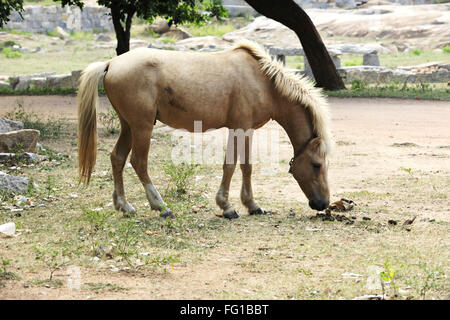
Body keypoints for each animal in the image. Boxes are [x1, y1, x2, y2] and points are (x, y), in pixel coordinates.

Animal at [76, 39, 330, 220]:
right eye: (316, 165)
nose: (324, 204)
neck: (264, 82)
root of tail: (111, 64)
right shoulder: (239, 128)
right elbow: (231, 165)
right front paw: (227, 207)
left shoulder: (247, 130)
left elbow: (246, 166)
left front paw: (252, 205)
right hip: (142, 127)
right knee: (138, 162)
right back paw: (161, 206)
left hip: (128, 126)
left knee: (117, 158)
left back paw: (125, 206)